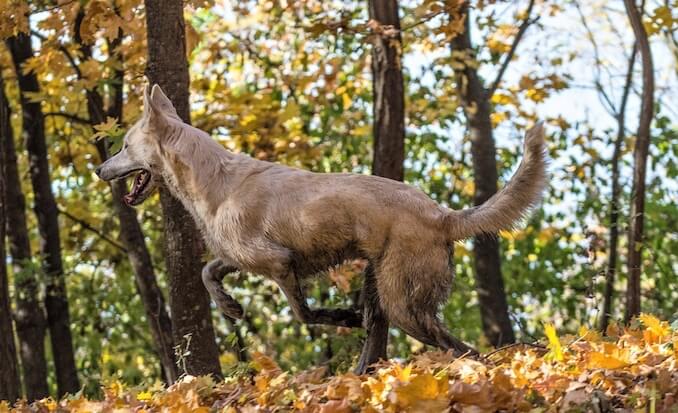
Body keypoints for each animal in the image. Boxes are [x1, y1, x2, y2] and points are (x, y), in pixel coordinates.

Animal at [95, 84, 548, 374]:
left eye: (124, 146)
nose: (99, 170)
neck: (215, 180)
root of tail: (442, 215)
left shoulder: (279, 263)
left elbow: (304, 313)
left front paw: (342, 316)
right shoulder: (239, 256)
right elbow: (208, 272)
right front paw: (229, 306)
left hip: (404, 304)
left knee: (462, 349)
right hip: (381, 289)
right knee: (381, 342)